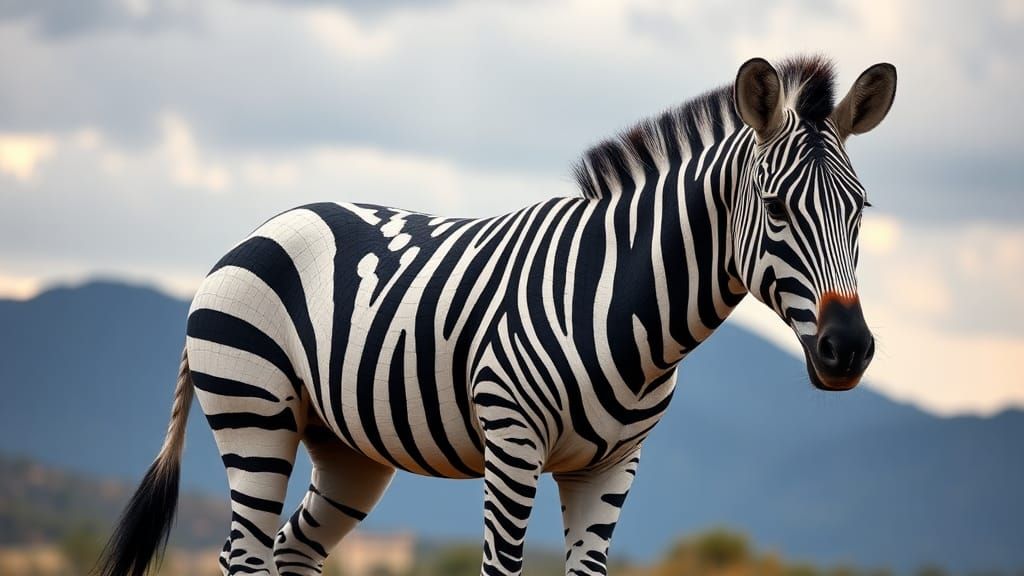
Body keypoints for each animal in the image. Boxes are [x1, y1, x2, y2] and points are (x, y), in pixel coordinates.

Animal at [96, 55, 896, 576]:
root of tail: (256, 232)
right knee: (244, 554)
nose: (848, 349)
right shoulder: (512, 444)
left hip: (347, 450)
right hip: (253, 411)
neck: (621, 302)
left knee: (290, 552)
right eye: (776, 209)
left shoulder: (613, 467)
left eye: (860, 211)